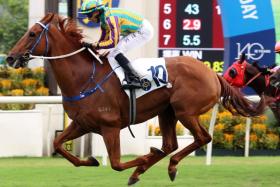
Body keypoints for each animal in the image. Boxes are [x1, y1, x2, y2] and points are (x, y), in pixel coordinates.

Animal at [5, 13, 266, 186]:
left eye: (32, 34)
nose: (10, 57)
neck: (84, 77)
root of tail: (213, 73)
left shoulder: (109, 126)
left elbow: (117, 163)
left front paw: (141, 160)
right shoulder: (82, 124)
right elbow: (58, 144)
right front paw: (92, 161)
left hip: (185, 111)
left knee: (202, 138)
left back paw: (166, 165)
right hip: (167, 112)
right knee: (170, 144)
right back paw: (155, 166)